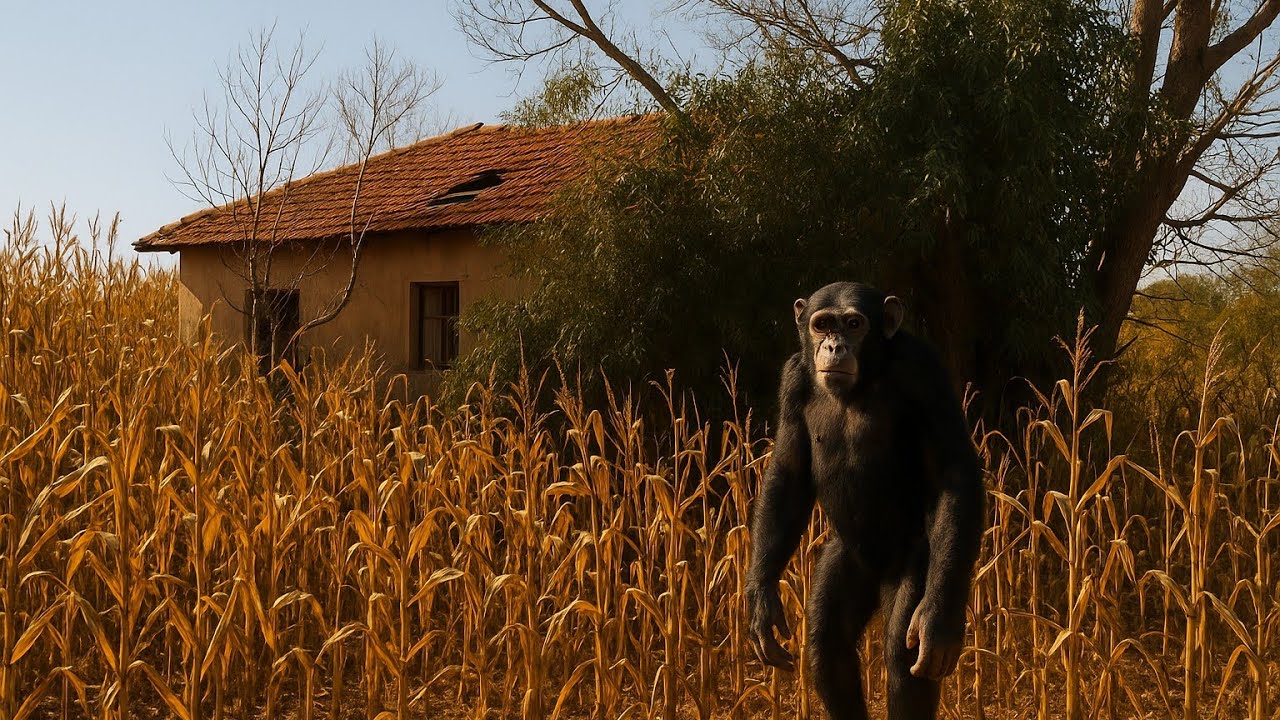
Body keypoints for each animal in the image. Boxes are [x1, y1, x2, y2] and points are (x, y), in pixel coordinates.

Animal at [745, 282, 985, 720]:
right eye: (822, 324)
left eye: (854, 324)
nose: (834, 345)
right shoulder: (791, 380)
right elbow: (788, 472)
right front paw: (762, 601)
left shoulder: (924, 371)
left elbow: (953, 475)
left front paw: (939, 619)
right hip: (848, 557)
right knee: (828, 643)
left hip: (916, 555)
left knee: (902, 652)